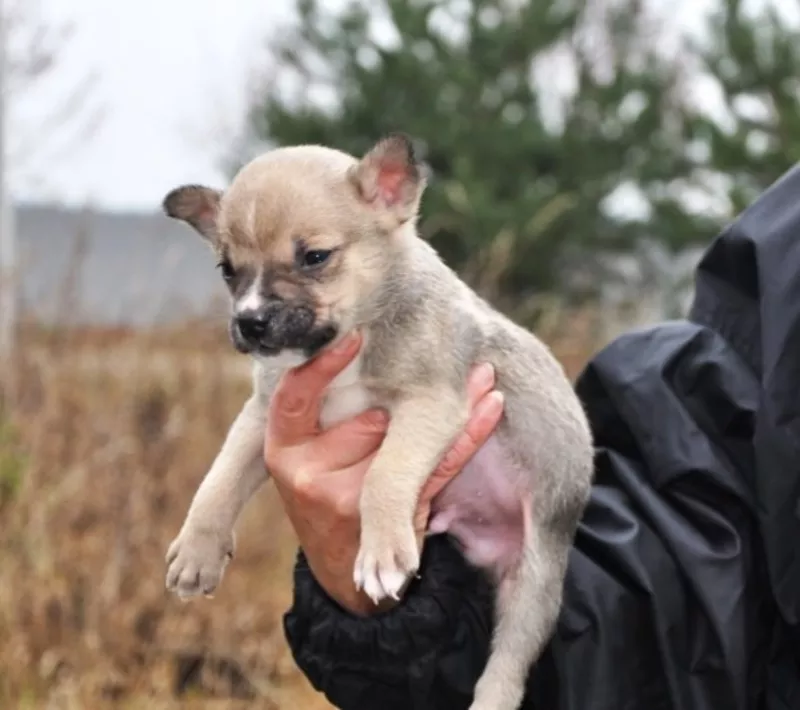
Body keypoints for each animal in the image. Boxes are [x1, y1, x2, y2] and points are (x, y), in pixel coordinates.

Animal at [162, 135, 592, 710]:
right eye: (228, 270)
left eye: (314, 257)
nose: (250, 322)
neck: (351, 334)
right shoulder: (261, 416)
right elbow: (219, 479)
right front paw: (197, 550)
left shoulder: (429, 404)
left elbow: (386, 476)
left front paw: (383, 549)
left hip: (535, 586)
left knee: (507, 667)